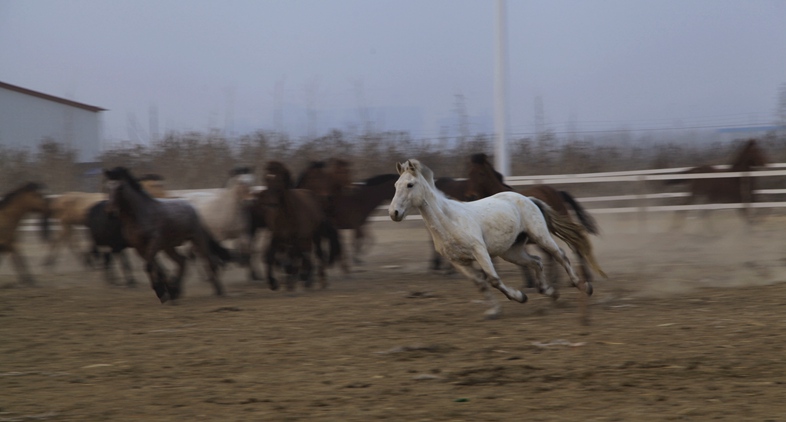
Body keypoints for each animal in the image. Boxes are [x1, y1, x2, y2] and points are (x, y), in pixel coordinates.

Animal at [104, 167, 231, 303]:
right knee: (182, 261)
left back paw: (219, 290)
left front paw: (161, 292)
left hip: (197, 239)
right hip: (168, 246)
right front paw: (166, 291)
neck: (139, 215)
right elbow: (157, 268)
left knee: (209, 260)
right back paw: (175, 290)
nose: (111, 212)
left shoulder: (154, 241)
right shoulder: (139, 247)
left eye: (120, 187)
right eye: (107, 187)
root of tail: (192, 207)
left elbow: (149, 266)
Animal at [247, 161, 341, 290]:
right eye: (266, 178)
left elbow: (293, 259)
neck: (286, 214)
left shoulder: (296, 239)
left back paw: (317, 280)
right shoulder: (277, 237)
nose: (271, 204)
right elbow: (272, 257)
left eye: (279, 180)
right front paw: (274, 282)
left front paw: (293, 281)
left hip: (313, 236)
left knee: (316, 254)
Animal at [389, 159, 593, 319]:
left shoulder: (479, 251)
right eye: (395, 185)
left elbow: (493, 279)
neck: (449, 220)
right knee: (536, 262)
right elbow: (481, 284)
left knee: (560, 255)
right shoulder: (458, 262)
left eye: (410, 184)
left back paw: (583, 286)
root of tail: (528, 198)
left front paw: (520, 297)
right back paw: (550, 293)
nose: (394, 213)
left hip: (540, 236)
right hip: (511, 252)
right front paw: (494, 311)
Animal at [463, 153, 604, 286]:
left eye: (481, 173)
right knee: (555, 253)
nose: (471, 196)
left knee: (573, 246)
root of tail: (557, 192)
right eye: (468, 173)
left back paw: (582, 278)